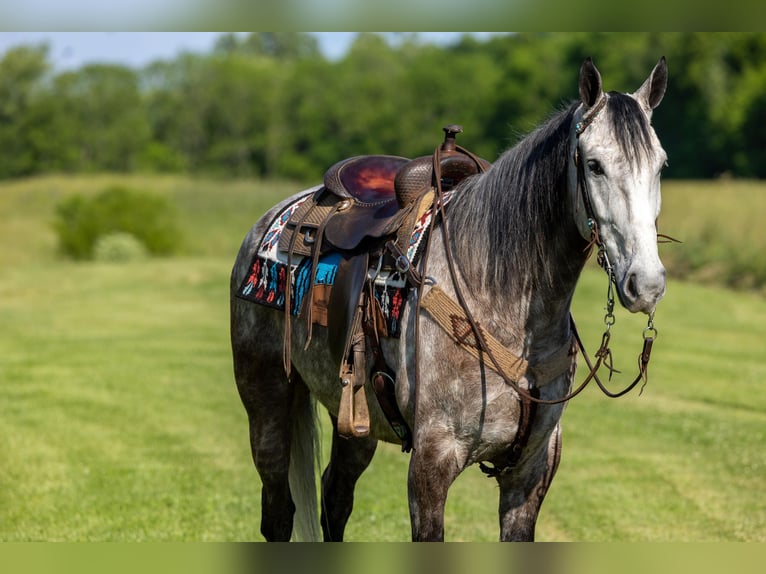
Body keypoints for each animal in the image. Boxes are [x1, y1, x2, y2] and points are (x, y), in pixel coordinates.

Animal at [231, 56, 668, 544]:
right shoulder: (432, 459)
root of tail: (274, 218)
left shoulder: (531, 471)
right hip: (267, 400)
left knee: (335, 498)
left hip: (354, 421)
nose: (646, 283)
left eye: (660, 166)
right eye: (594, 165)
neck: (496, 297)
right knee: (278, 510)